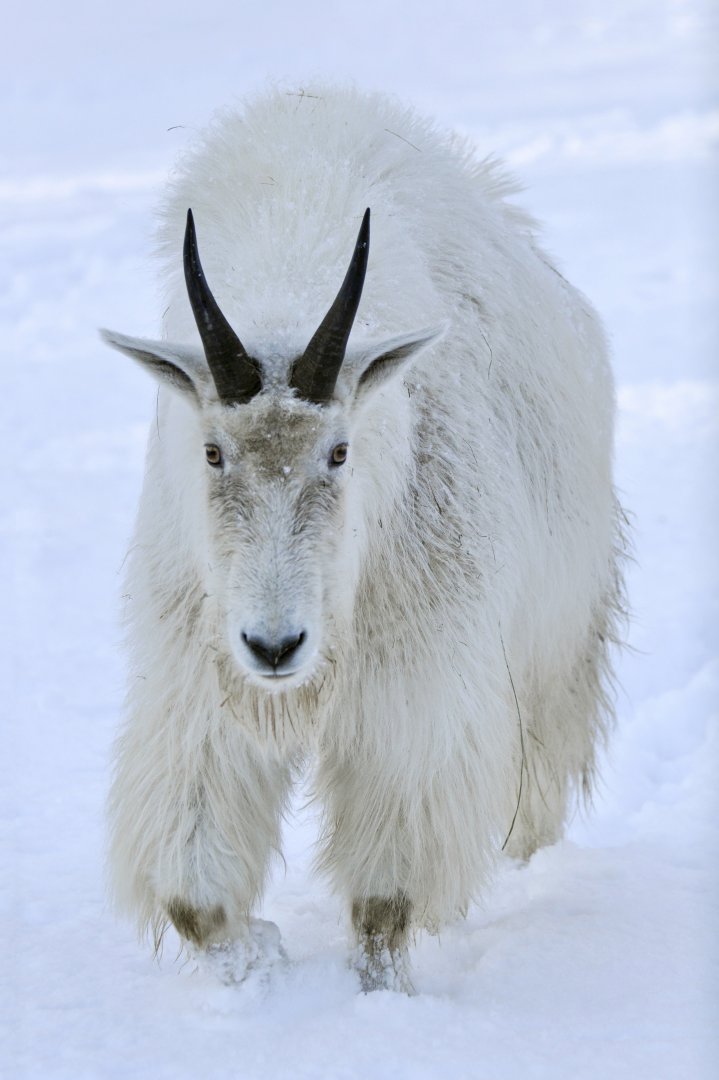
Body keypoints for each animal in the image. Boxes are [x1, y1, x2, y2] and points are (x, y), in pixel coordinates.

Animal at [102, 86, 626, 992]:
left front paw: (380, 995)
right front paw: (253, 965)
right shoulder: (197, 680)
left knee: (537, 780)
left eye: (339, 451)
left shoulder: (413, 683)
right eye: (212, 451)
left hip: (556, 637)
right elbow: (193, 896)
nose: (276, 646)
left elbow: (387, 897)